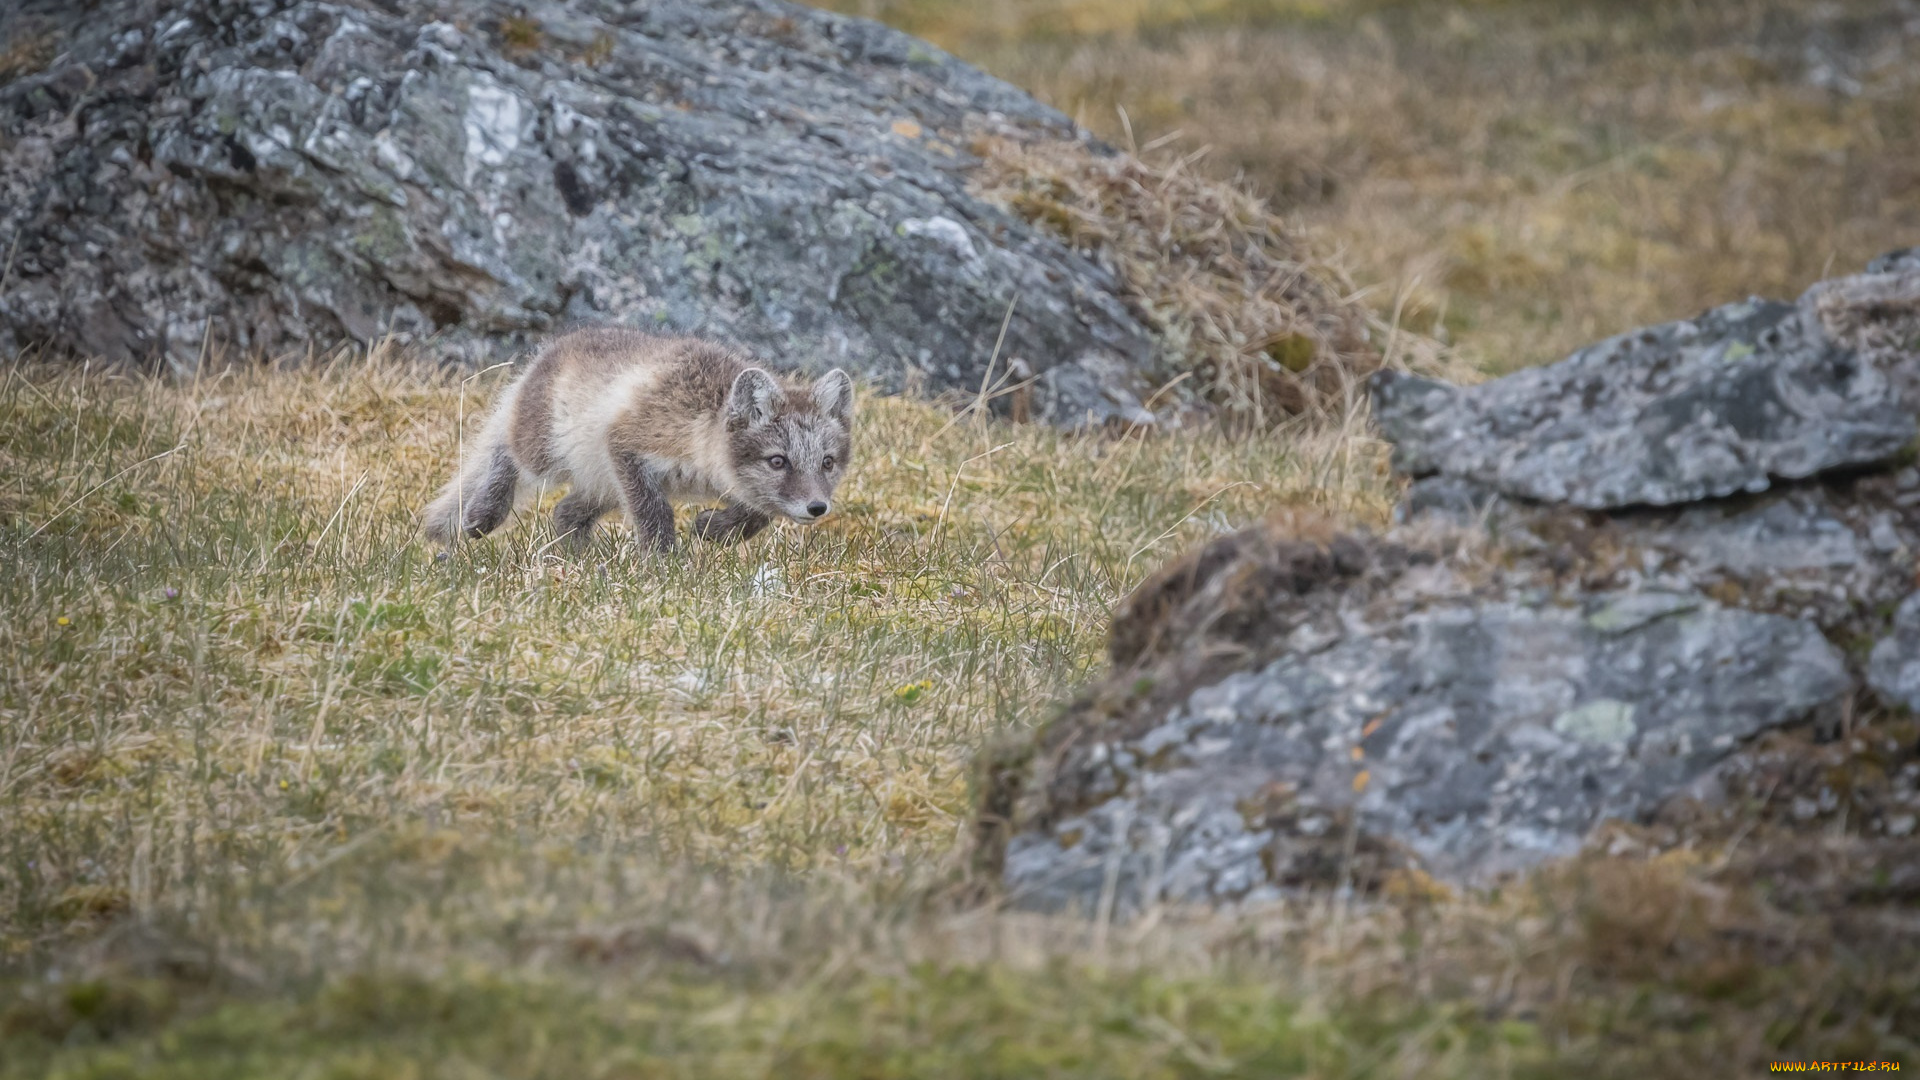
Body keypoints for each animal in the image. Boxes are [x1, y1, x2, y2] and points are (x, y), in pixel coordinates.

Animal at [432, 326, 860, 545]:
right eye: (778, 461)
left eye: (827, 463)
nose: (818, 507)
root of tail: (550, 350)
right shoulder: (626, 445)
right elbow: (655, 512)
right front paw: (663, 564)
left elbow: (758, 512)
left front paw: (714, 529)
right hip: (547, 454)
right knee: (504, 449)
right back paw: (483, 514)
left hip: (602, 484)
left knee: (565, 512)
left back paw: (578, 560)